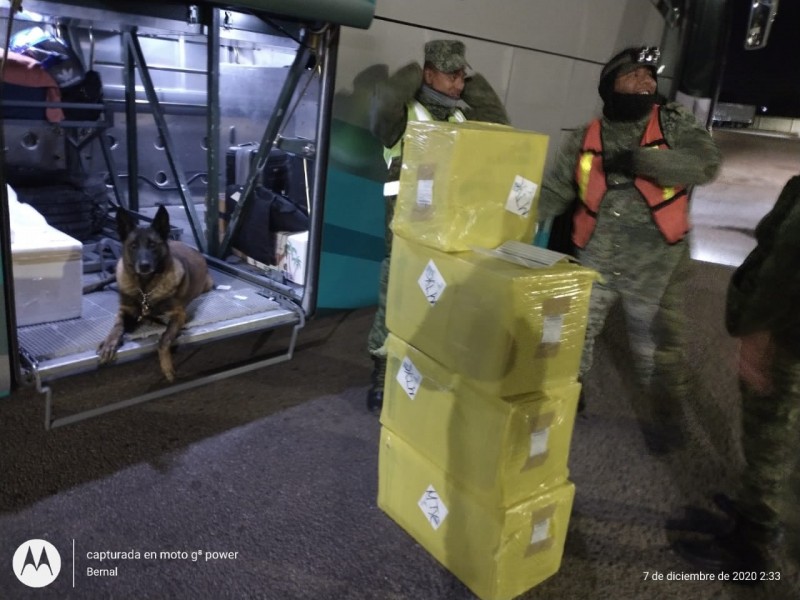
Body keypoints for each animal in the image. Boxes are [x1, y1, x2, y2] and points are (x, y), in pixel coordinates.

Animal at [98, 205, 214, 381]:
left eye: (153, 245)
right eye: (133, 245)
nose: (144, 266)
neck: (145, 289)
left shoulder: (179, 314)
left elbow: (164, 339)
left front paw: (166, 366)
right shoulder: (124, 310)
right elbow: (117, 326)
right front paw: (109, 343)